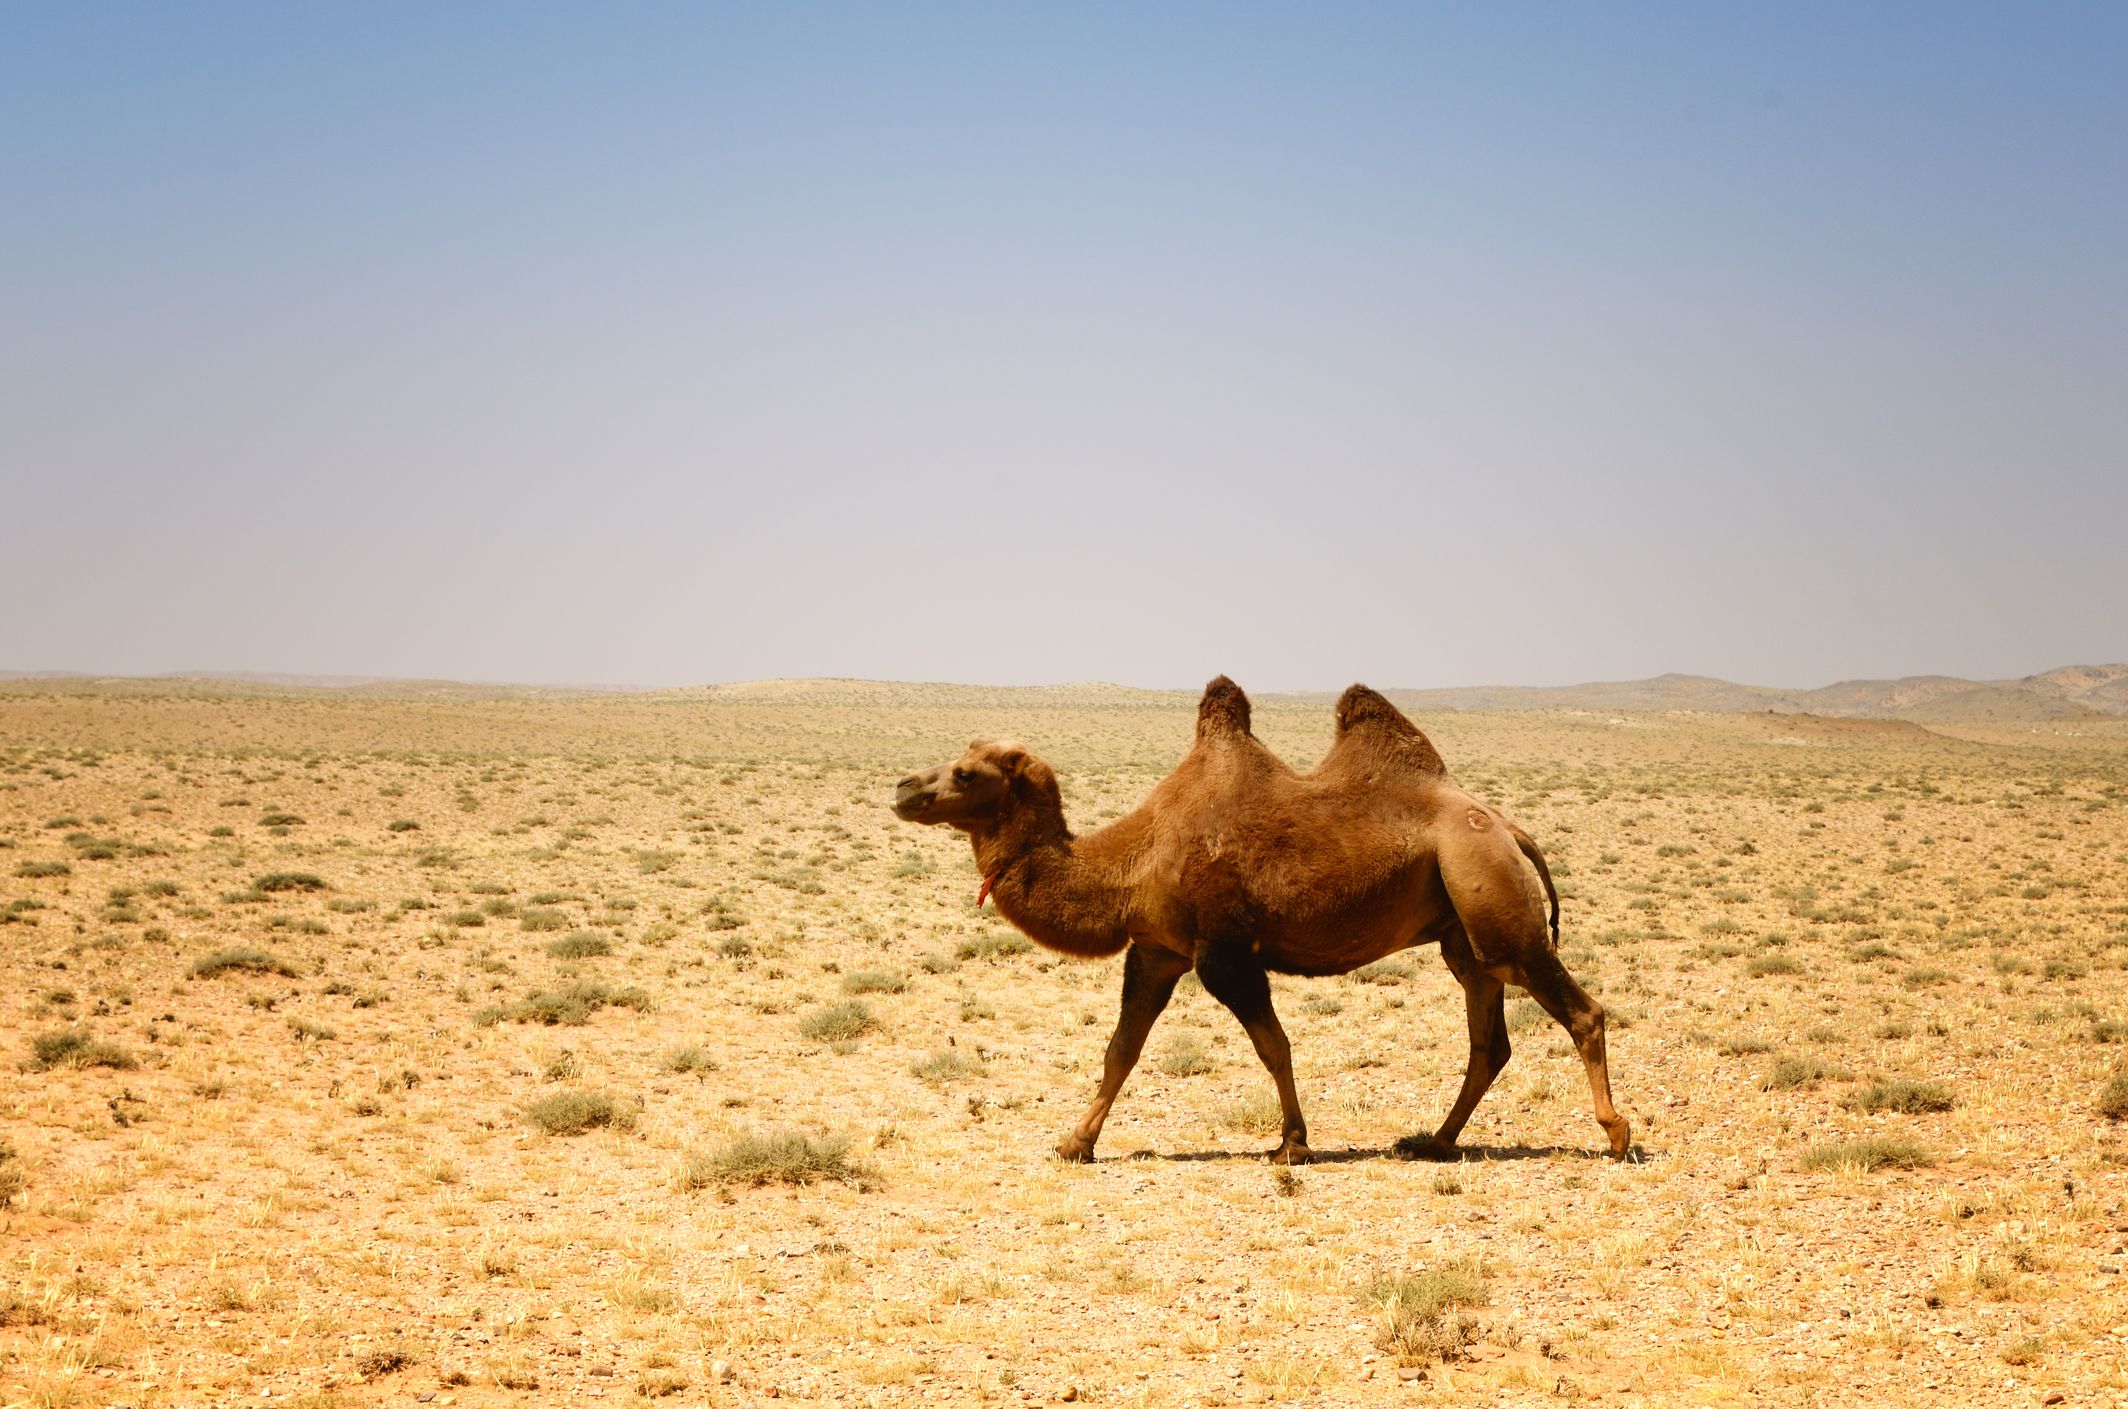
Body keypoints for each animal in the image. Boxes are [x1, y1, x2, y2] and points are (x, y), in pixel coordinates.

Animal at [890, 677, 1629, 1165]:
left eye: (965, 772)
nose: (902, 788)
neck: (1133, 859)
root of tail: (1505, 825)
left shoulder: (1223, 952)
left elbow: (1274, 1045)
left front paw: (1293, 1144)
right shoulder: (1156, 950)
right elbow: (1121, 1049)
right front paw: (1076, 1141)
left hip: (1491, 897)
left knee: (1580, 1009)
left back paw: (1616, 1132)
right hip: (1462, 932)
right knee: (1489, 1038)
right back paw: (1433, 1141)